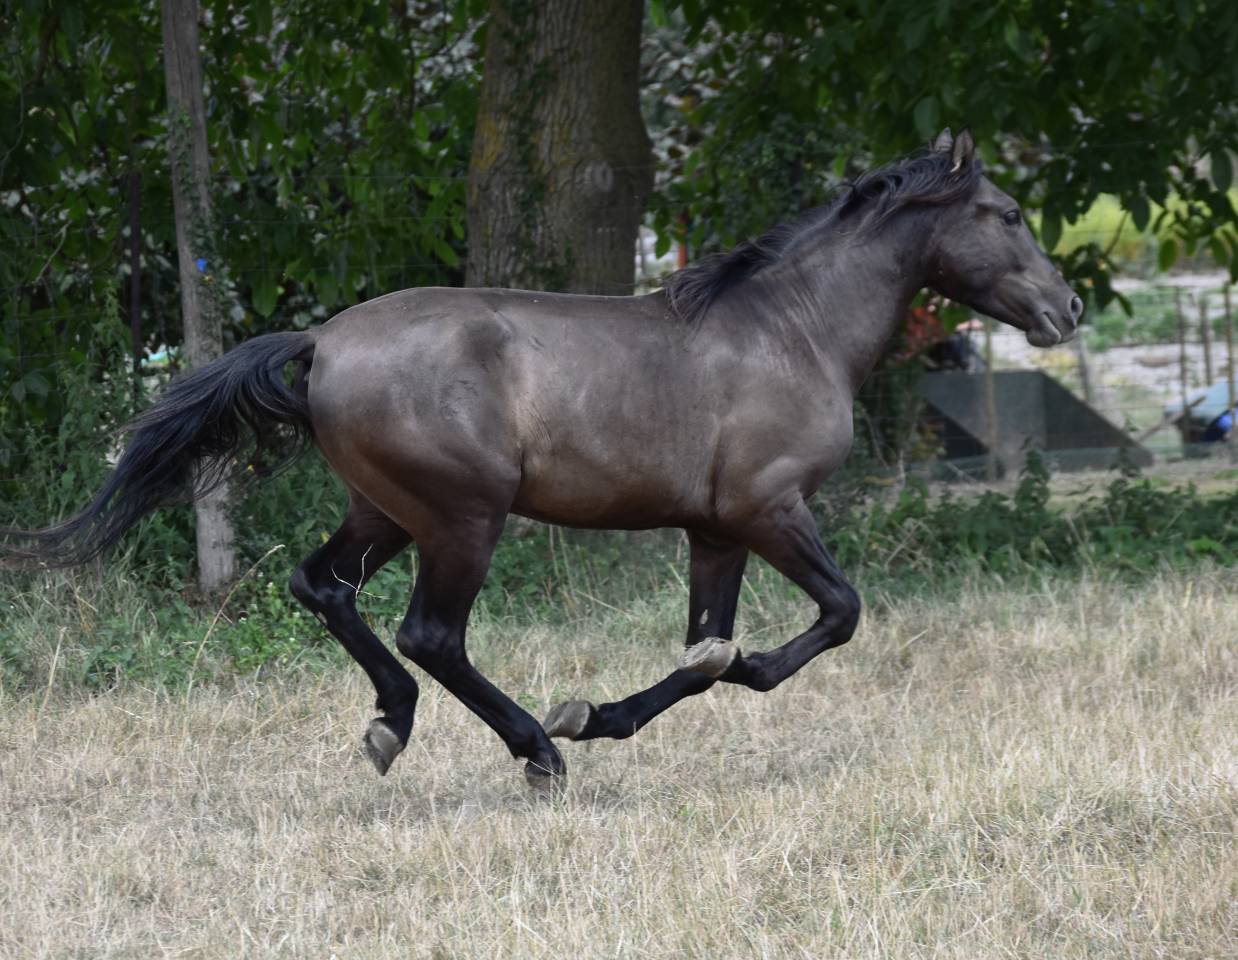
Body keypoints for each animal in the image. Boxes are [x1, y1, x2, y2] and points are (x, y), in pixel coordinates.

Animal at [3, 129, 1082, 787]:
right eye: (1010, 216)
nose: (1067, 309)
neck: (792, 329)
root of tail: (320, 344)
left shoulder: (715, 529)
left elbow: (703, 653)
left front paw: (597, 712)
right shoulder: (771, 509)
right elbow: (829, 620)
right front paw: (586, 720)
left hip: (384, 510)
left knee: (323, 587)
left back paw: (391, 726)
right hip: (462, 517)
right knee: (430, 633)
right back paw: (530, 752)